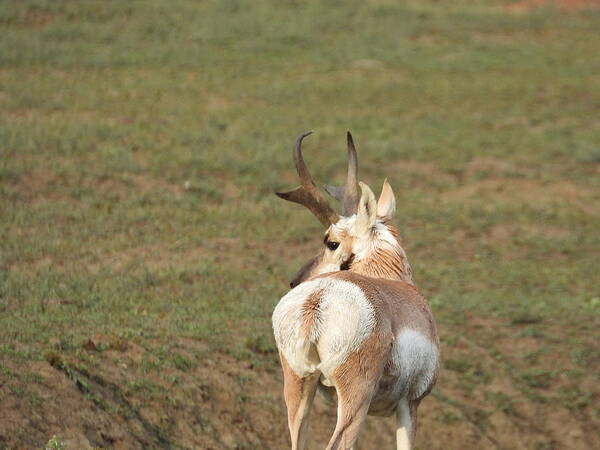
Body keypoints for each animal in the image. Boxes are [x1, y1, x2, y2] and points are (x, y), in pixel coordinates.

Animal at [274, 132, 440, 450]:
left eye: (331, 242)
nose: (294, 280)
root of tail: (319, 298)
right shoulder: (410, 404)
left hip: (299, 387)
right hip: (355, 402)